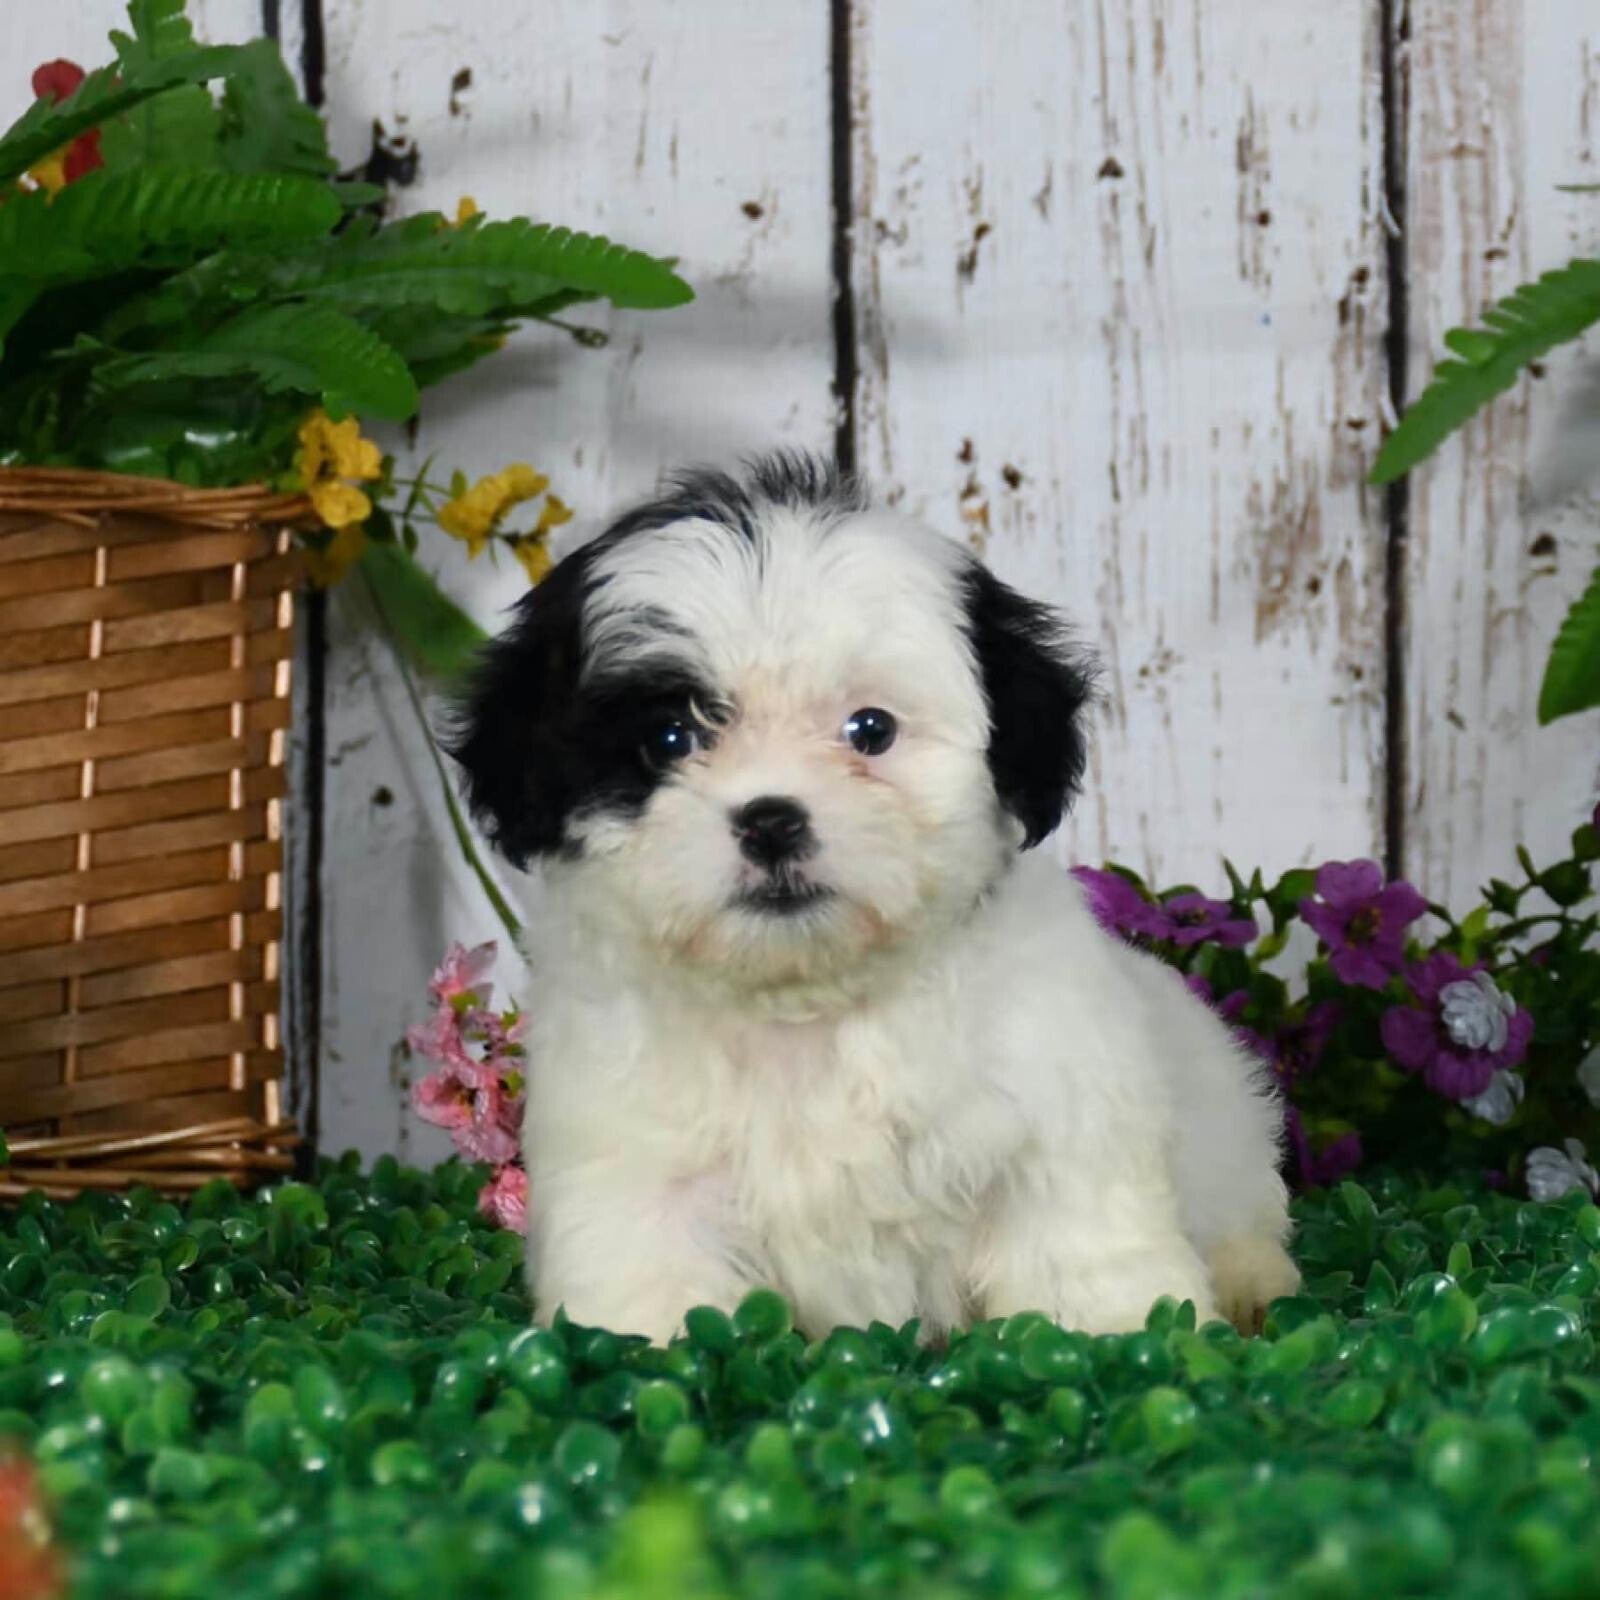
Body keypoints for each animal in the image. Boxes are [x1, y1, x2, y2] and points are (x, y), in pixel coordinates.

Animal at [450, 452, 1297, 1342]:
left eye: (870, 730)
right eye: (669, 740)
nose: (772, 821)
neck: (806, 1010)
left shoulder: (1054, 1120)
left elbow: (1078, 1253)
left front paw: (1122, 1333)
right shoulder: (633, 1161)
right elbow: (650, 1283)